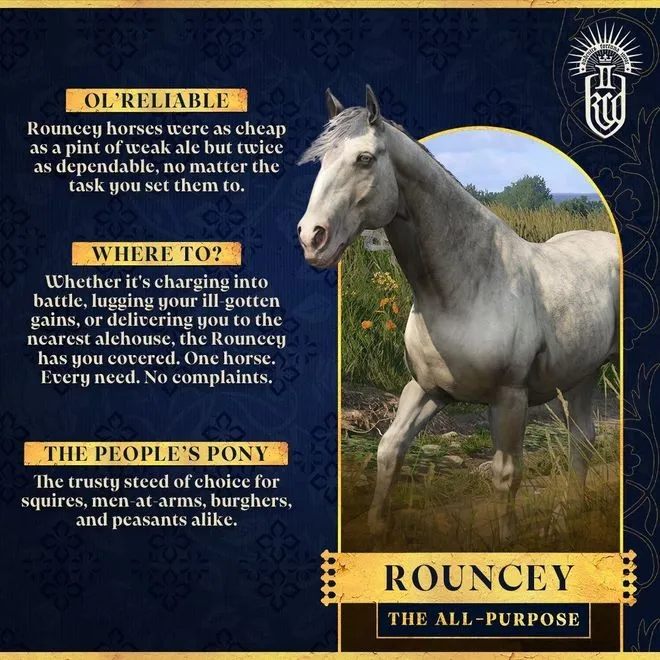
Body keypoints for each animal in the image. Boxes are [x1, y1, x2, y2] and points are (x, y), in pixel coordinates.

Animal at [297, 85, 619, 545]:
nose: (312, 238)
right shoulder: (427, 389)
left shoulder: (509, 399)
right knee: (583, 439)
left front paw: (507, 543)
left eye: (365, 158)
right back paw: (566, 522)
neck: (468, 288)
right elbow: (389, 449)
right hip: (580, 375)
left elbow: (506, 475)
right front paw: (376, 528)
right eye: (322, 159)